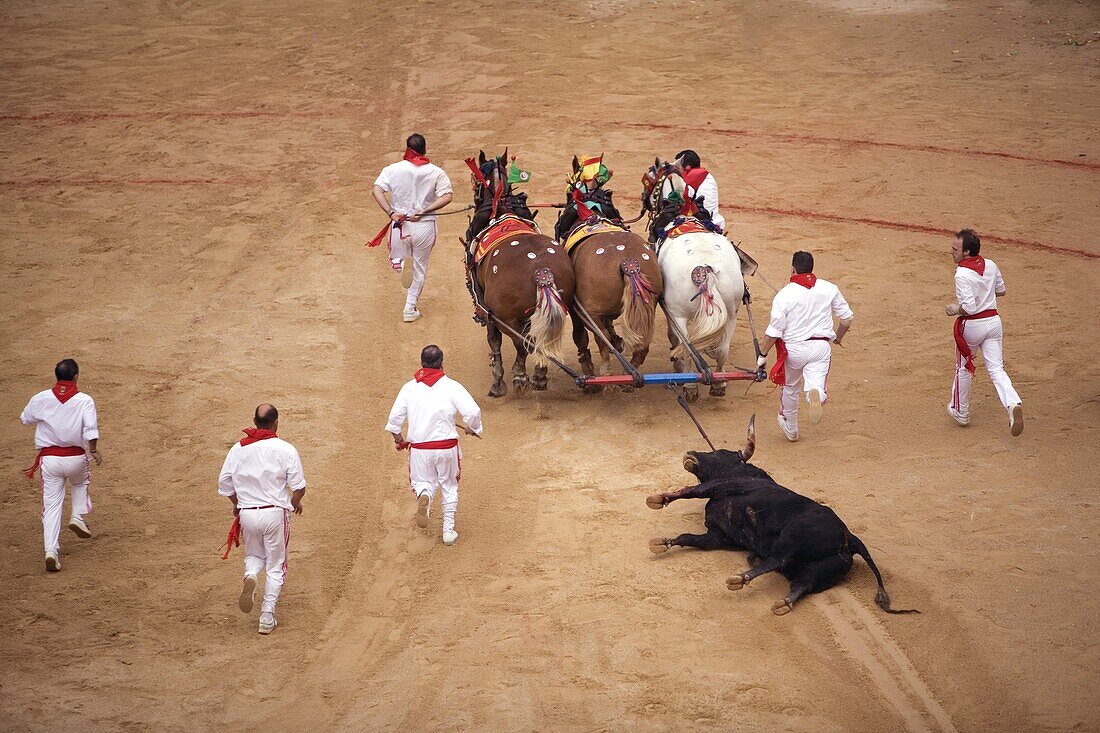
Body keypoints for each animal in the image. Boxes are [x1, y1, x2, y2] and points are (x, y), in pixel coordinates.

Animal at [462, 149, 576, 400]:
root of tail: (542, 272)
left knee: (525, 343)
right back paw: (539, 375)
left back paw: (521, 376)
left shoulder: (488, 309)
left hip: (508, 317)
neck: (500, 208)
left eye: (475, 180)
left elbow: (494, 342)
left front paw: (498, 381)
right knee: (540, 340)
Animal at [558, 154, 660, 387]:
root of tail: (628, 263)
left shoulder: (579, 309)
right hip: (648, 306)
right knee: (642, 345)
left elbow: (582, 337)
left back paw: (607, 374)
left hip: (591, 312)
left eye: (568, 193)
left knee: (601, 339)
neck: (590, 212)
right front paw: (618, 339)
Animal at [642, 161, 743, 400]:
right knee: (722, 350)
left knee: (687, 345)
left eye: (649, 178)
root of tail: (705, 269)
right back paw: (719, 383)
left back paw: (689, 384)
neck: (679, 209)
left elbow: (675, 339)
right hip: (732, 314)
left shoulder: (671, 311)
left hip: (679, 314)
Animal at [646, 413, 915, 611]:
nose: (690, 453)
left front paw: (658, 499)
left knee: (778, 558)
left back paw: (740, 578)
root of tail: (850, 537)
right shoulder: (720, 537)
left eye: (719, 452)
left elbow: (692, 490)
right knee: (802, 582)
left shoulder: (725, 486)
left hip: (793, 537)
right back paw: (783, 602)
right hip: (821, 569)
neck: (740, 471)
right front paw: (663, 542)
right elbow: (689, 538)